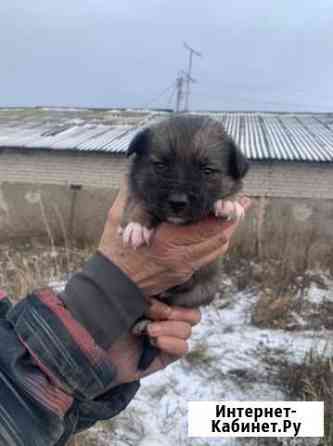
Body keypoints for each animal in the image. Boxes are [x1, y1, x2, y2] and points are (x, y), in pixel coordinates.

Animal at [120, 116, 248, 370]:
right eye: (160, 166)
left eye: (207, 171)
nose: (177, 202)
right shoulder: (135, 191)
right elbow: (138, 202)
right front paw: (137, 226)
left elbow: (231, 192)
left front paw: (229, 203)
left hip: (201, 292)